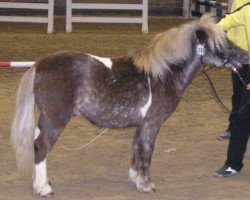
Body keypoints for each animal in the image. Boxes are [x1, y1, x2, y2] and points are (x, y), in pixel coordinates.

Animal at [10, 14, 247, 197]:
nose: (245, 57)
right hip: (55, 119)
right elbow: (147, 151)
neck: (162, 74)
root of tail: (40, 64)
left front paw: (136, 179)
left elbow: (136, 149)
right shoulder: (152, 124)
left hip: (45, 118)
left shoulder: (141, 125)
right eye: (222, 44)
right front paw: (147, 184)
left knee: (36, 145)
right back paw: (44, 188)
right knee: (42, 146)